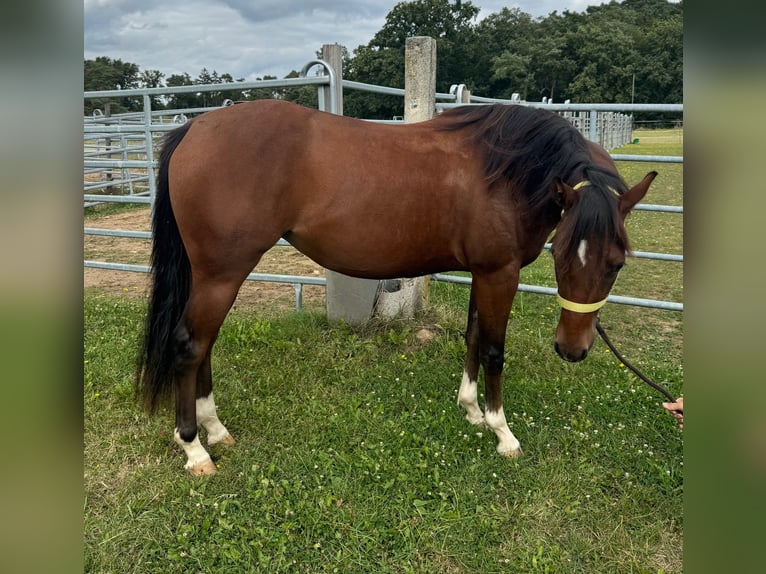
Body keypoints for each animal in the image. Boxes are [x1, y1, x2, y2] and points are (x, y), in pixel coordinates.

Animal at [136, 100, 656, 476]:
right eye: (561, 254)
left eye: (615, 264)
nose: (572, 349)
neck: (507, 169)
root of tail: (194, 130)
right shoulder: (499, 272)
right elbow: (493, 349)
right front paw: (502, 432)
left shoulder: (481, 272)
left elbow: (472, 337)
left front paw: (470, 410)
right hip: (222, 275)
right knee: (189, 346)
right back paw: (195, 449)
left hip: (213, 277)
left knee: (203, 345)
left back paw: (215, 430)